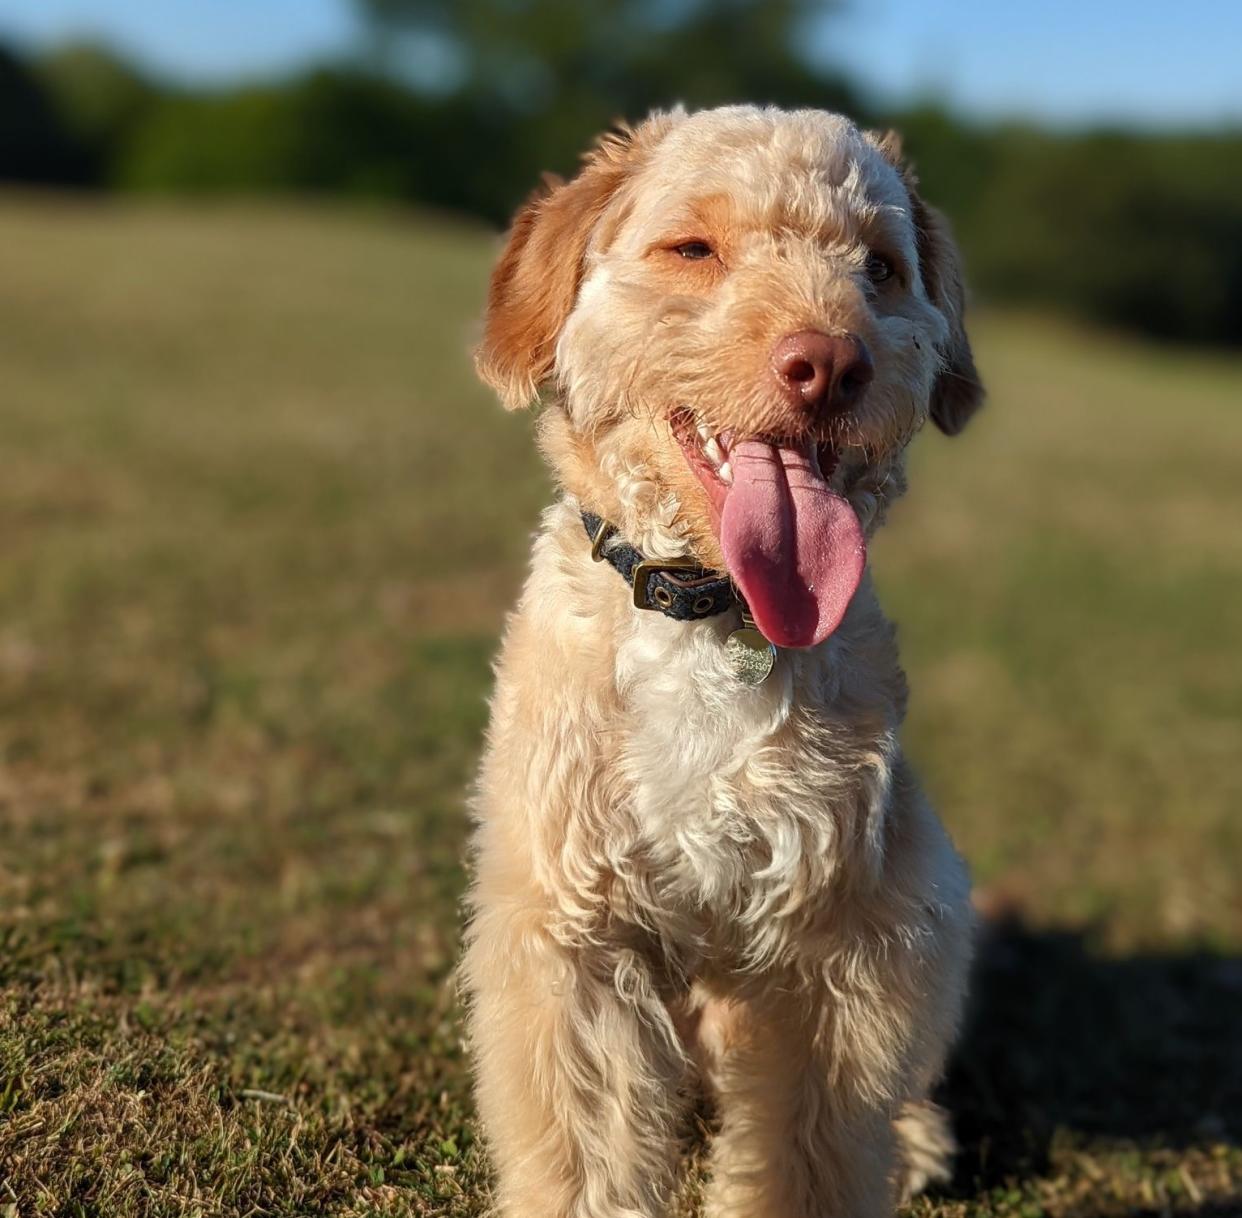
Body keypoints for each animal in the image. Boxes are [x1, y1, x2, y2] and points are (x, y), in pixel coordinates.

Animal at [462, 106, 983, 1216]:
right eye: (693, 250)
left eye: (880, 266)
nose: (828, 363)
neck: (713, 619)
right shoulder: (574, 928)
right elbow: (585, 1148)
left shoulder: (843, 947)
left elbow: (810, 1151)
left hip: (933, 892)